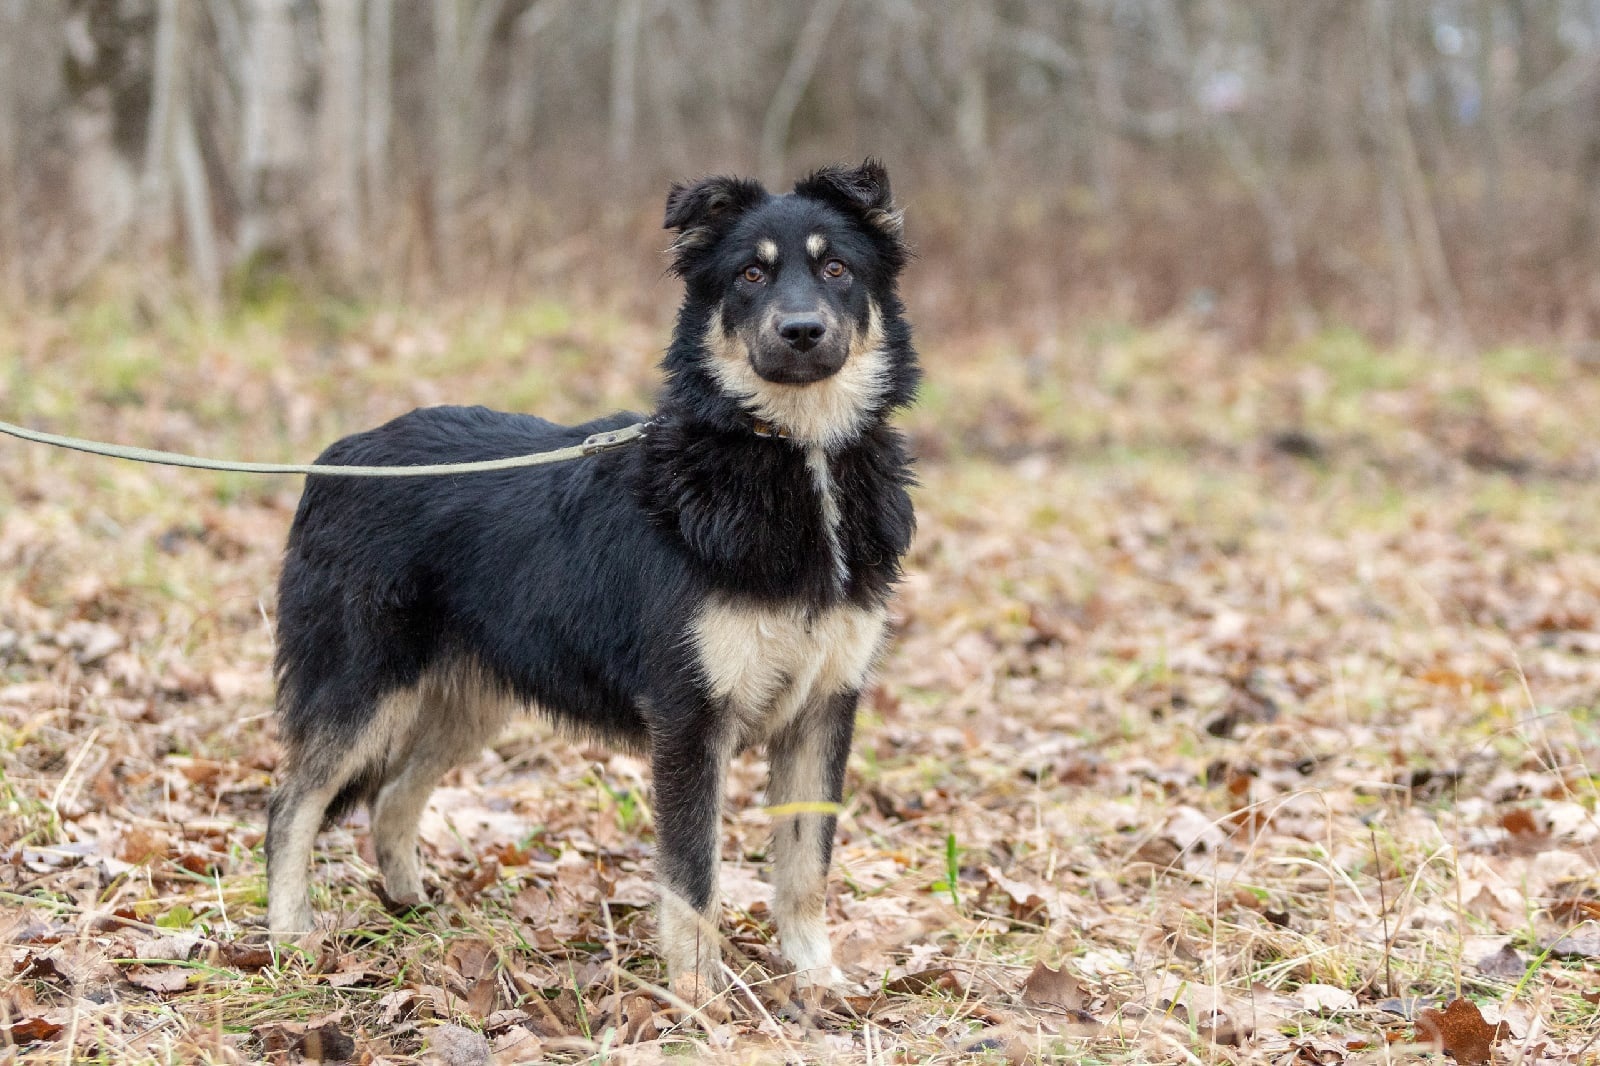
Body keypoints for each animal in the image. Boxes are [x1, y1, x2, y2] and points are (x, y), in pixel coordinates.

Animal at [260, 157, 915, 985]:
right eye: (750, 275)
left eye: (837, 269)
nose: (802, 332)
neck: (791, 452)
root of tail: (336, 456)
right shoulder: (690, 717)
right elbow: (692, 880)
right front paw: (699, 997)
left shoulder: (824, 708)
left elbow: (806, 868)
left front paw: (817, 981)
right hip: (360, 683)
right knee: (291, 807)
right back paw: (290, 937)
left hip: (466, 701)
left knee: (393, 797)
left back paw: (414, 912)